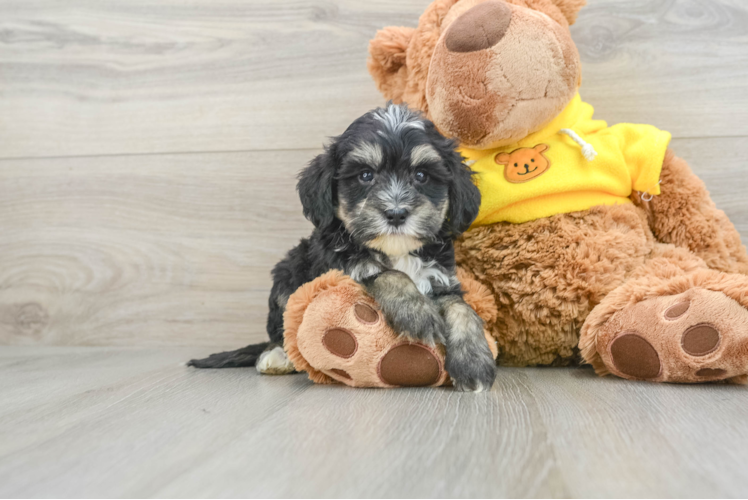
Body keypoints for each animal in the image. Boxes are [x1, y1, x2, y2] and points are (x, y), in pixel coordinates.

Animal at [190, 103, 496, 392]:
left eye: (421, 175)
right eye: (365, 175)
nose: (396, 213)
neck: (396, 251)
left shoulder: (441, 278)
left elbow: (461, 308)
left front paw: (474, 361)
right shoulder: (342, 269)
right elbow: (388, 274)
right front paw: (418, 315)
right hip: (288, 273)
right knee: (280, 331)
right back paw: (277, 357)